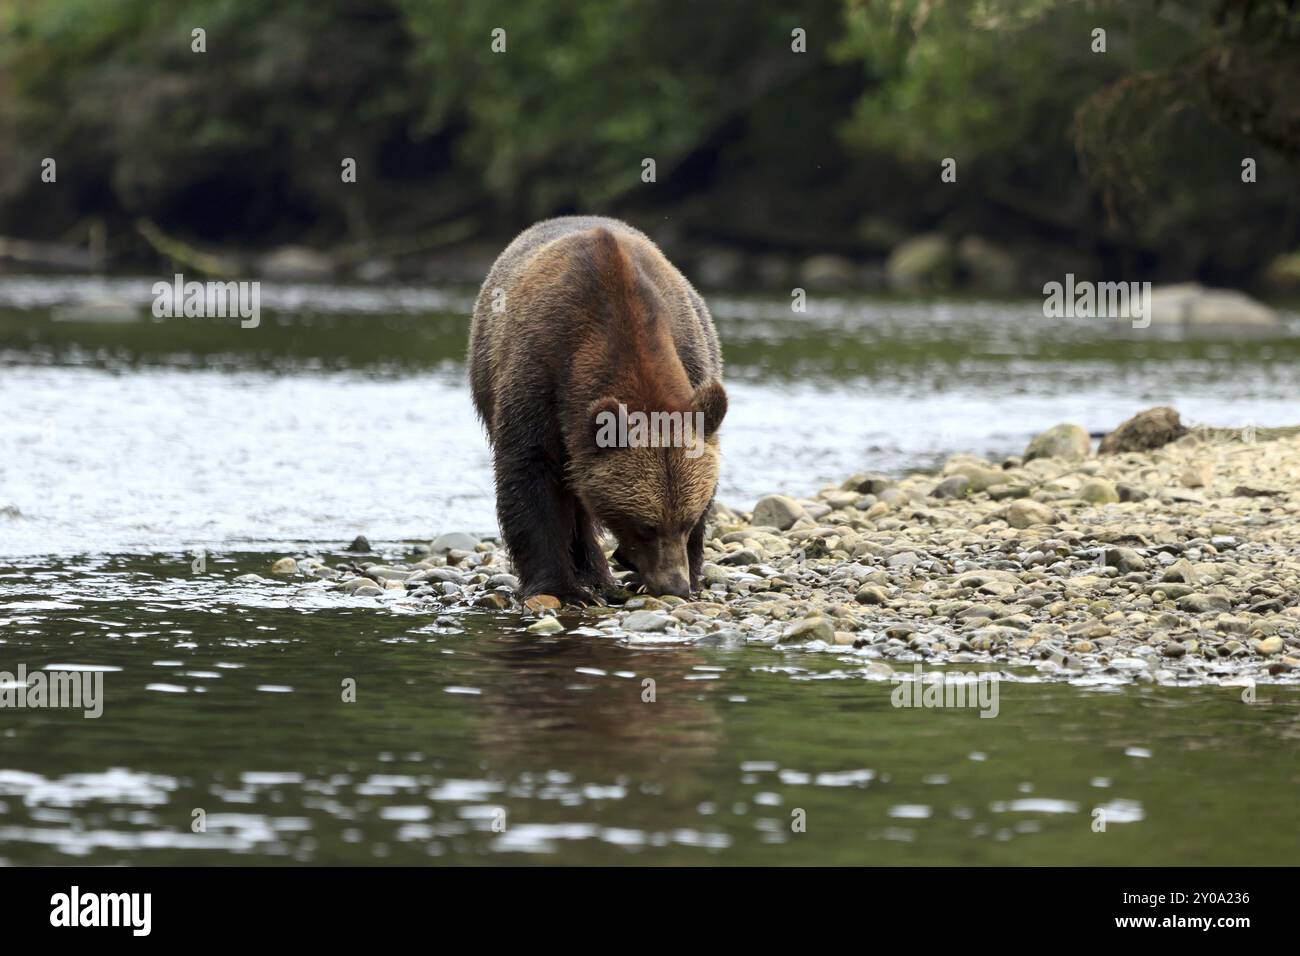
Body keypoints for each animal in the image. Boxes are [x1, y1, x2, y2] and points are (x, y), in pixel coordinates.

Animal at [470, 217, 733, 606]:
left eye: (685, 521)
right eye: (646, 525)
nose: (674, 586)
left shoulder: (693, 359)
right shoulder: (539, 375)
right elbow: (531, 473)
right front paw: (560, 588)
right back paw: (591, 572)